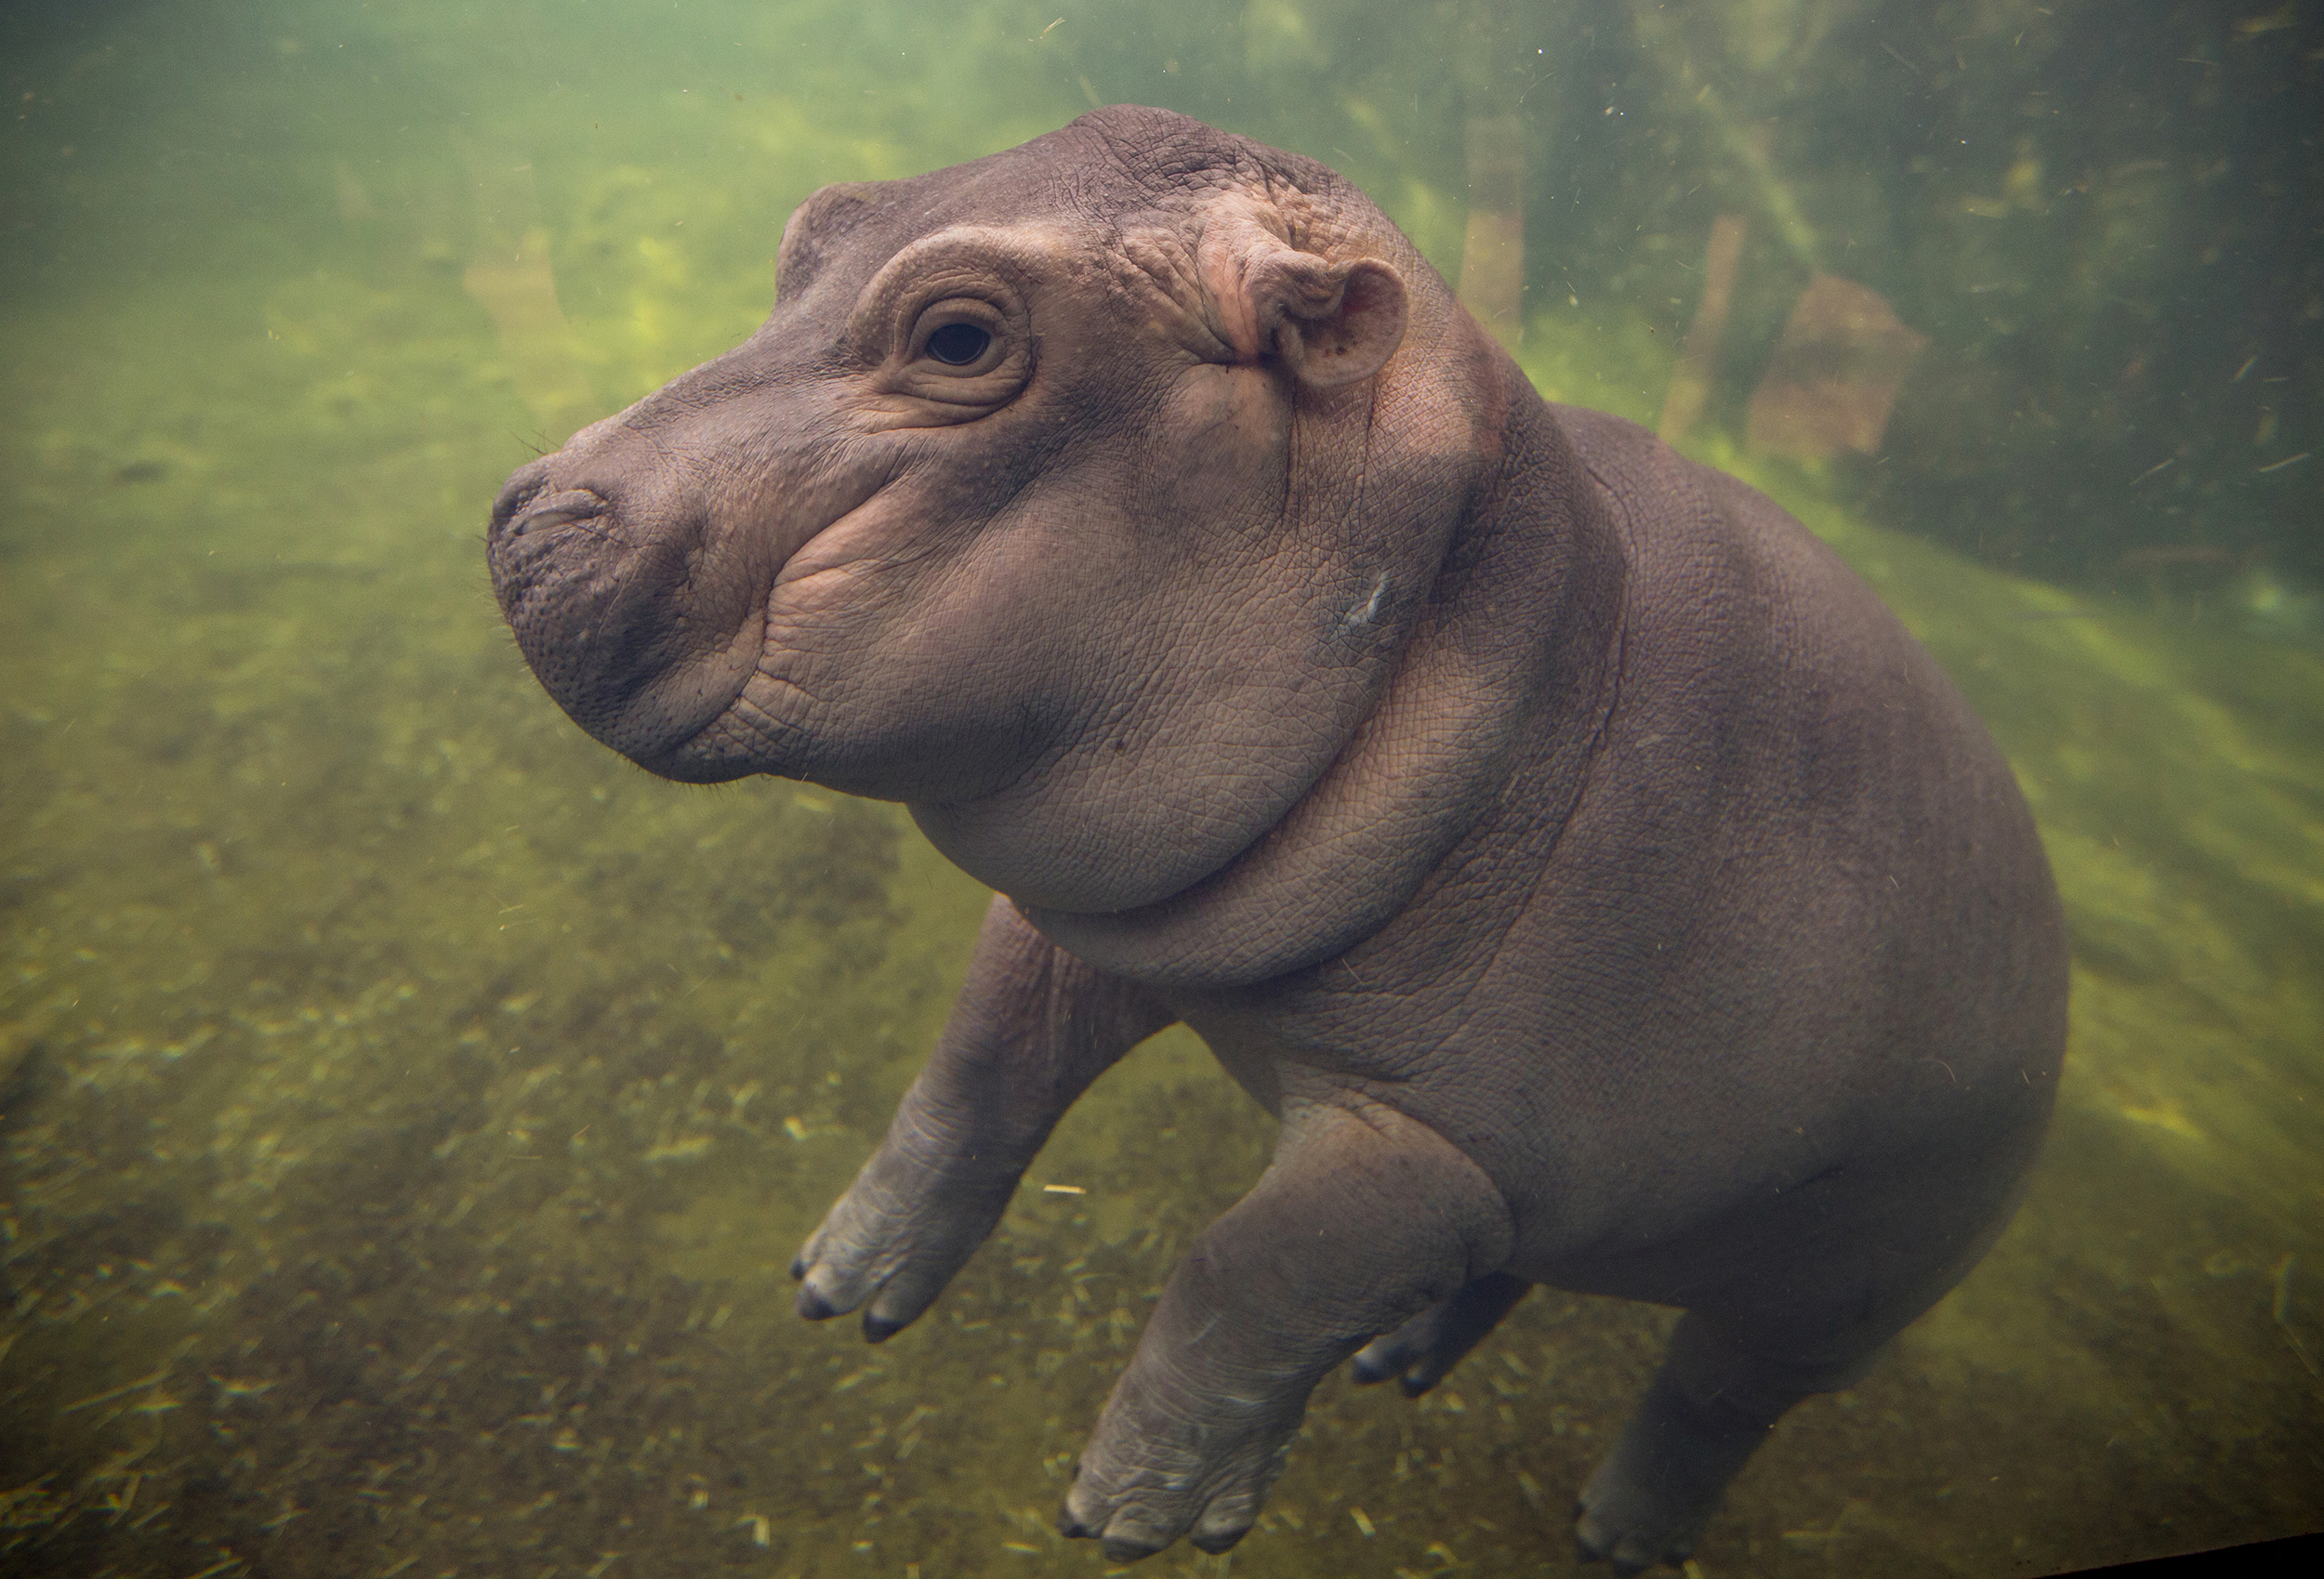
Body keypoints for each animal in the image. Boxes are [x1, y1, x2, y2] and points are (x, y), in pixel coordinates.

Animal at [486, 107, 2067, 1570]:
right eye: (813, 224)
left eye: (959, 334)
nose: (526, 515)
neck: (1506, 622)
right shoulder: (1103, 920)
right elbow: (975, 1075)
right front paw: (837, 1284)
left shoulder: (1438, 1143)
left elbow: (1249, 1267)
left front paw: (1133, 1515)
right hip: (1598, 1199)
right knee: (1513, 1270)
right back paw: (1396, 1361)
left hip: (1837, 1287)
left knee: (1713, 1395)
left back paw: (1617, 1534)